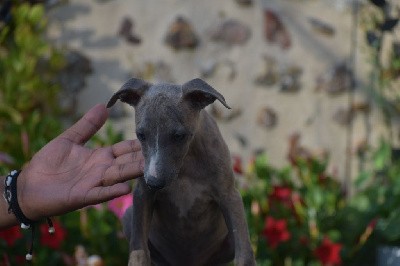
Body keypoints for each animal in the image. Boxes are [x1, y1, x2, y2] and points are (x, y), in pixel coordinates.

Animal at [107, 78, 256, 264]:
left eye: (179, 136)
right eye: (141, 135)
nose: (154, 182)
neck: (185, 166)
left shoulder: (229, 197)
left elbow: (244, 252)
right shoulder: (142, 195)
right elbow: (139, 248)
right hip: (128, 216)